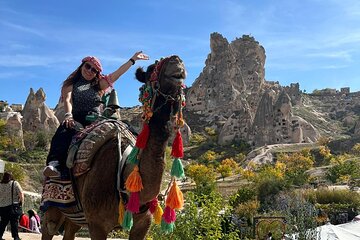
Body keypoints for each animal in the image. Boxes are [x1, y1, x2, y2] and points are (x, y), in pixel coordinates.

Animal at [41, 55, 187, 239]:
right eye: (151, 69)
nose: (177, 61)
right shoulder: (97, 223)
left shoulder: (143, 223)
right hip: (53, 205)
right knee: (50, 227)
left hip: (76, 216)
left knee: (70, 231)